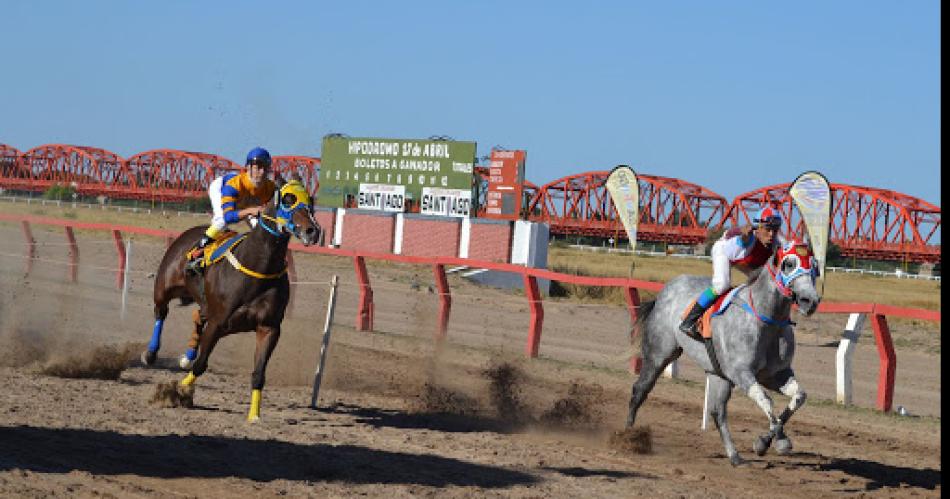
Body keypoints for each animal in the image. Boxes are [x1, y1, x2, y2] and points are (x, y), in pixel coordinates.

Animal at [141, 180, 320, 422]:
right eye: (287, 199)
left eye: (311, 201)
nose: (312, 231)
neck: (259, 267)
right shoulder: (218, 324)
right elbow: (201, 365)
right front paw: (180, 391)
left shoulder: (269, 328)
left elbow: (258, 373)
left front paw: (254, 415)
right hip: (163, 288)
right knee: (161, 312)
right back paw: (151, 354)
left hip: (206, 304)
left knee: (197, 316)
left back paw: (186, 355)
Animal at [628, 240, 820, 466]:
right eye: (789, 264)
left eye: (815, 266)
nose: (810, 301)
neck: (767, 320)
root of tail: (665, 291)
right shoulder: (741, 372)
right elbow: (765, 399)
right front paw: (778, 440)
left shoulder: (776, 375)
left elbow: (799, 396)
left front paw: (765, 441)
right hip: (659, 354)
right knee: (640, 389)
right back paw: (628, 433)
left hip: (718, 374)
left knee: (717, 411)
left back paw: (734, 456)